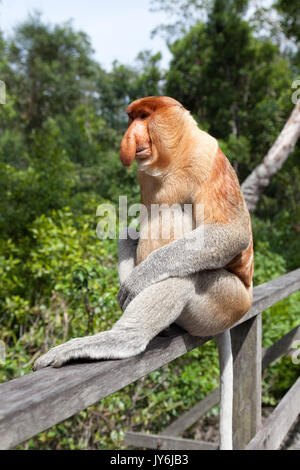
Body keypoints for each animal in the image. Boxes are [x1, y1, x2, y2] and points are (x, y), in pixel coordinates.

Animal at [33, 94, 253, 448]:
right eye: (131, 117)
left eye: (145, 116)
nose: (130, 135)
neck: (173, 158)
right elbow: (130, 230)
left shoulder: (207, 156)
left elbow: (232, 232)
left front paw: (137, 283)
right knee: (131, 232)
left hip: (227, 301)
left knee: (186, 273)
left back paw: (122, 338)